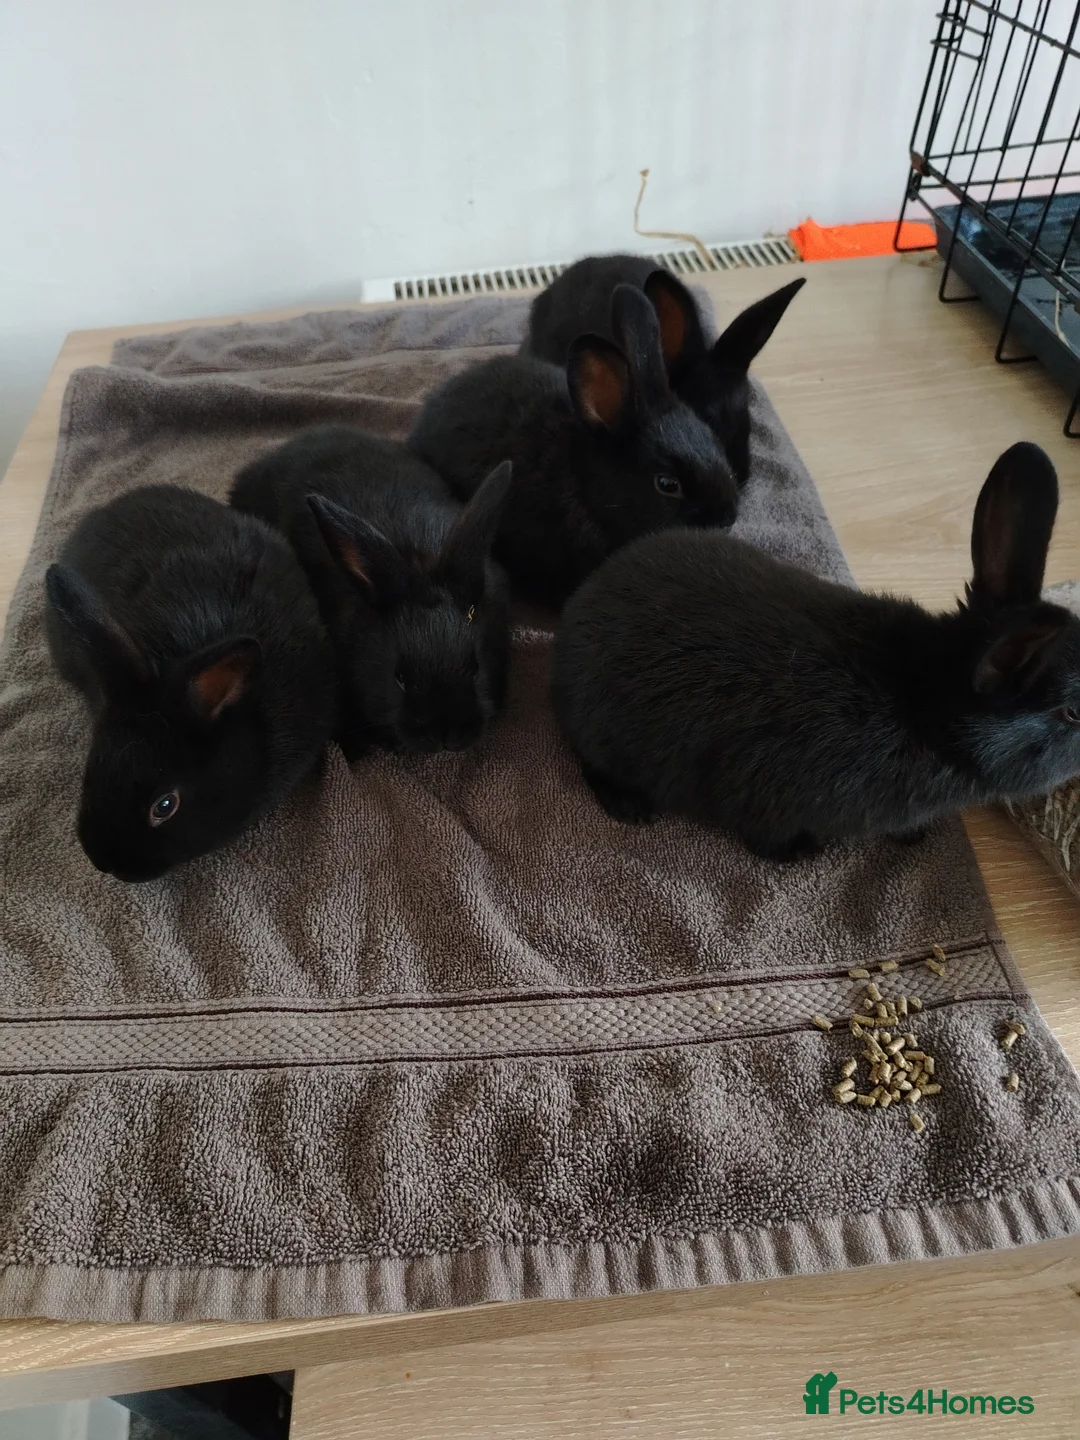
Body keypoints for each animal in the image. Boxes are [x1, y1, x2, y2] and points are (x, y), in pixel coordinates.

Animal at [554, 441, 1080, 861]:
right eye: (1074, 713)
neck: (923, 705)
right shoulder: (768, 799)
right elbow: (768, 838)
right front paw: (803, 853)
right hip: (605, 734)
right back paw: (630, 807)